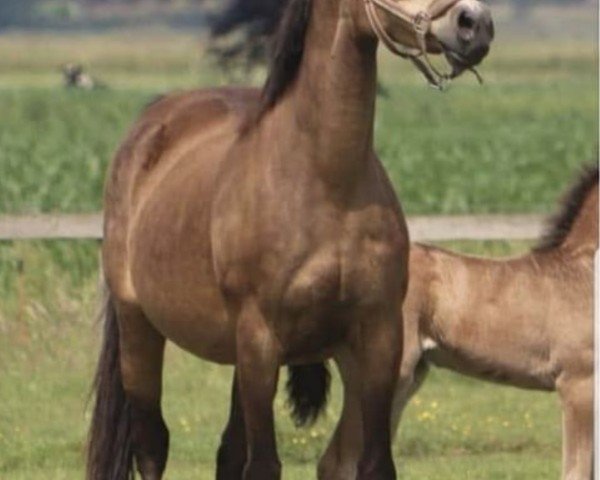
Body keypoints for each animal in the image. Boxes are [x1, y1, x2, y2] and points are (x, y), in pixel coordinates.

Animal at [86, 0, 494, 476]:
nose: (475, 24)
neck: (325, 180)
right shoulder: (261, 339)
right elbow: (264, 465)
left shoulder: (380, 335)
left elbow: (375, 463)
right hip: (141, 327)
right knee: (152, 443)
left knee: (228, 451)